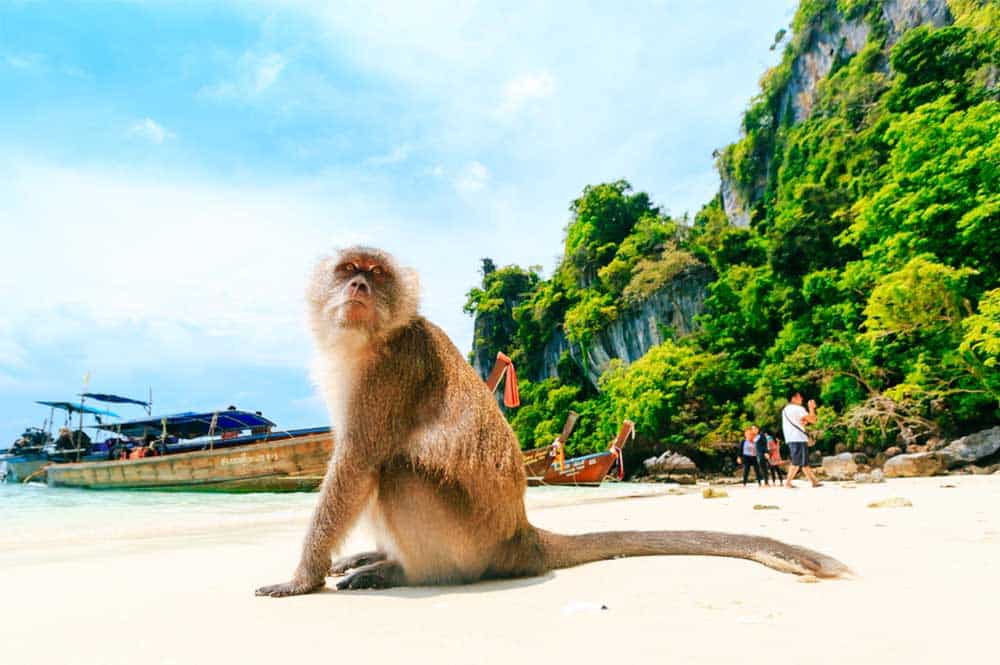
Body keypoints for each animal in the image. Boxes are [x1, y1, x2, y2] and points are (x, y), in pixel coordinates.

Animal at [255, 246, 848, 597]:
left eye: (375, 275)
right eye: (347, 271)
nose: (358, 288)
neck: (371, 339)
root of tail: (522, 537)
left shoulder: (390, 371)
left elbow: (356, 464)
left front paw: (301, 579)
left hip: (468, 543)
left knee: (395, 469)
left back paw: (404, 571)